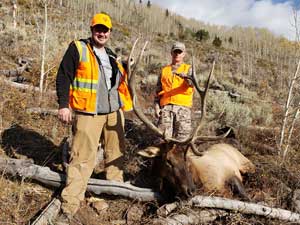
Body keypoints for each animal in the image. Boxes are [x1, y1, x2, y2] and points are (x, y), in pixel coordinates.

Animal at [126, 38, 255, 200]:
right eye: (168, 161)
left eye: (186, 160)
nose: (191, 190)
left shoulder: (231, 174)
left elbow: (245, 196)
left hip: (246, 163)